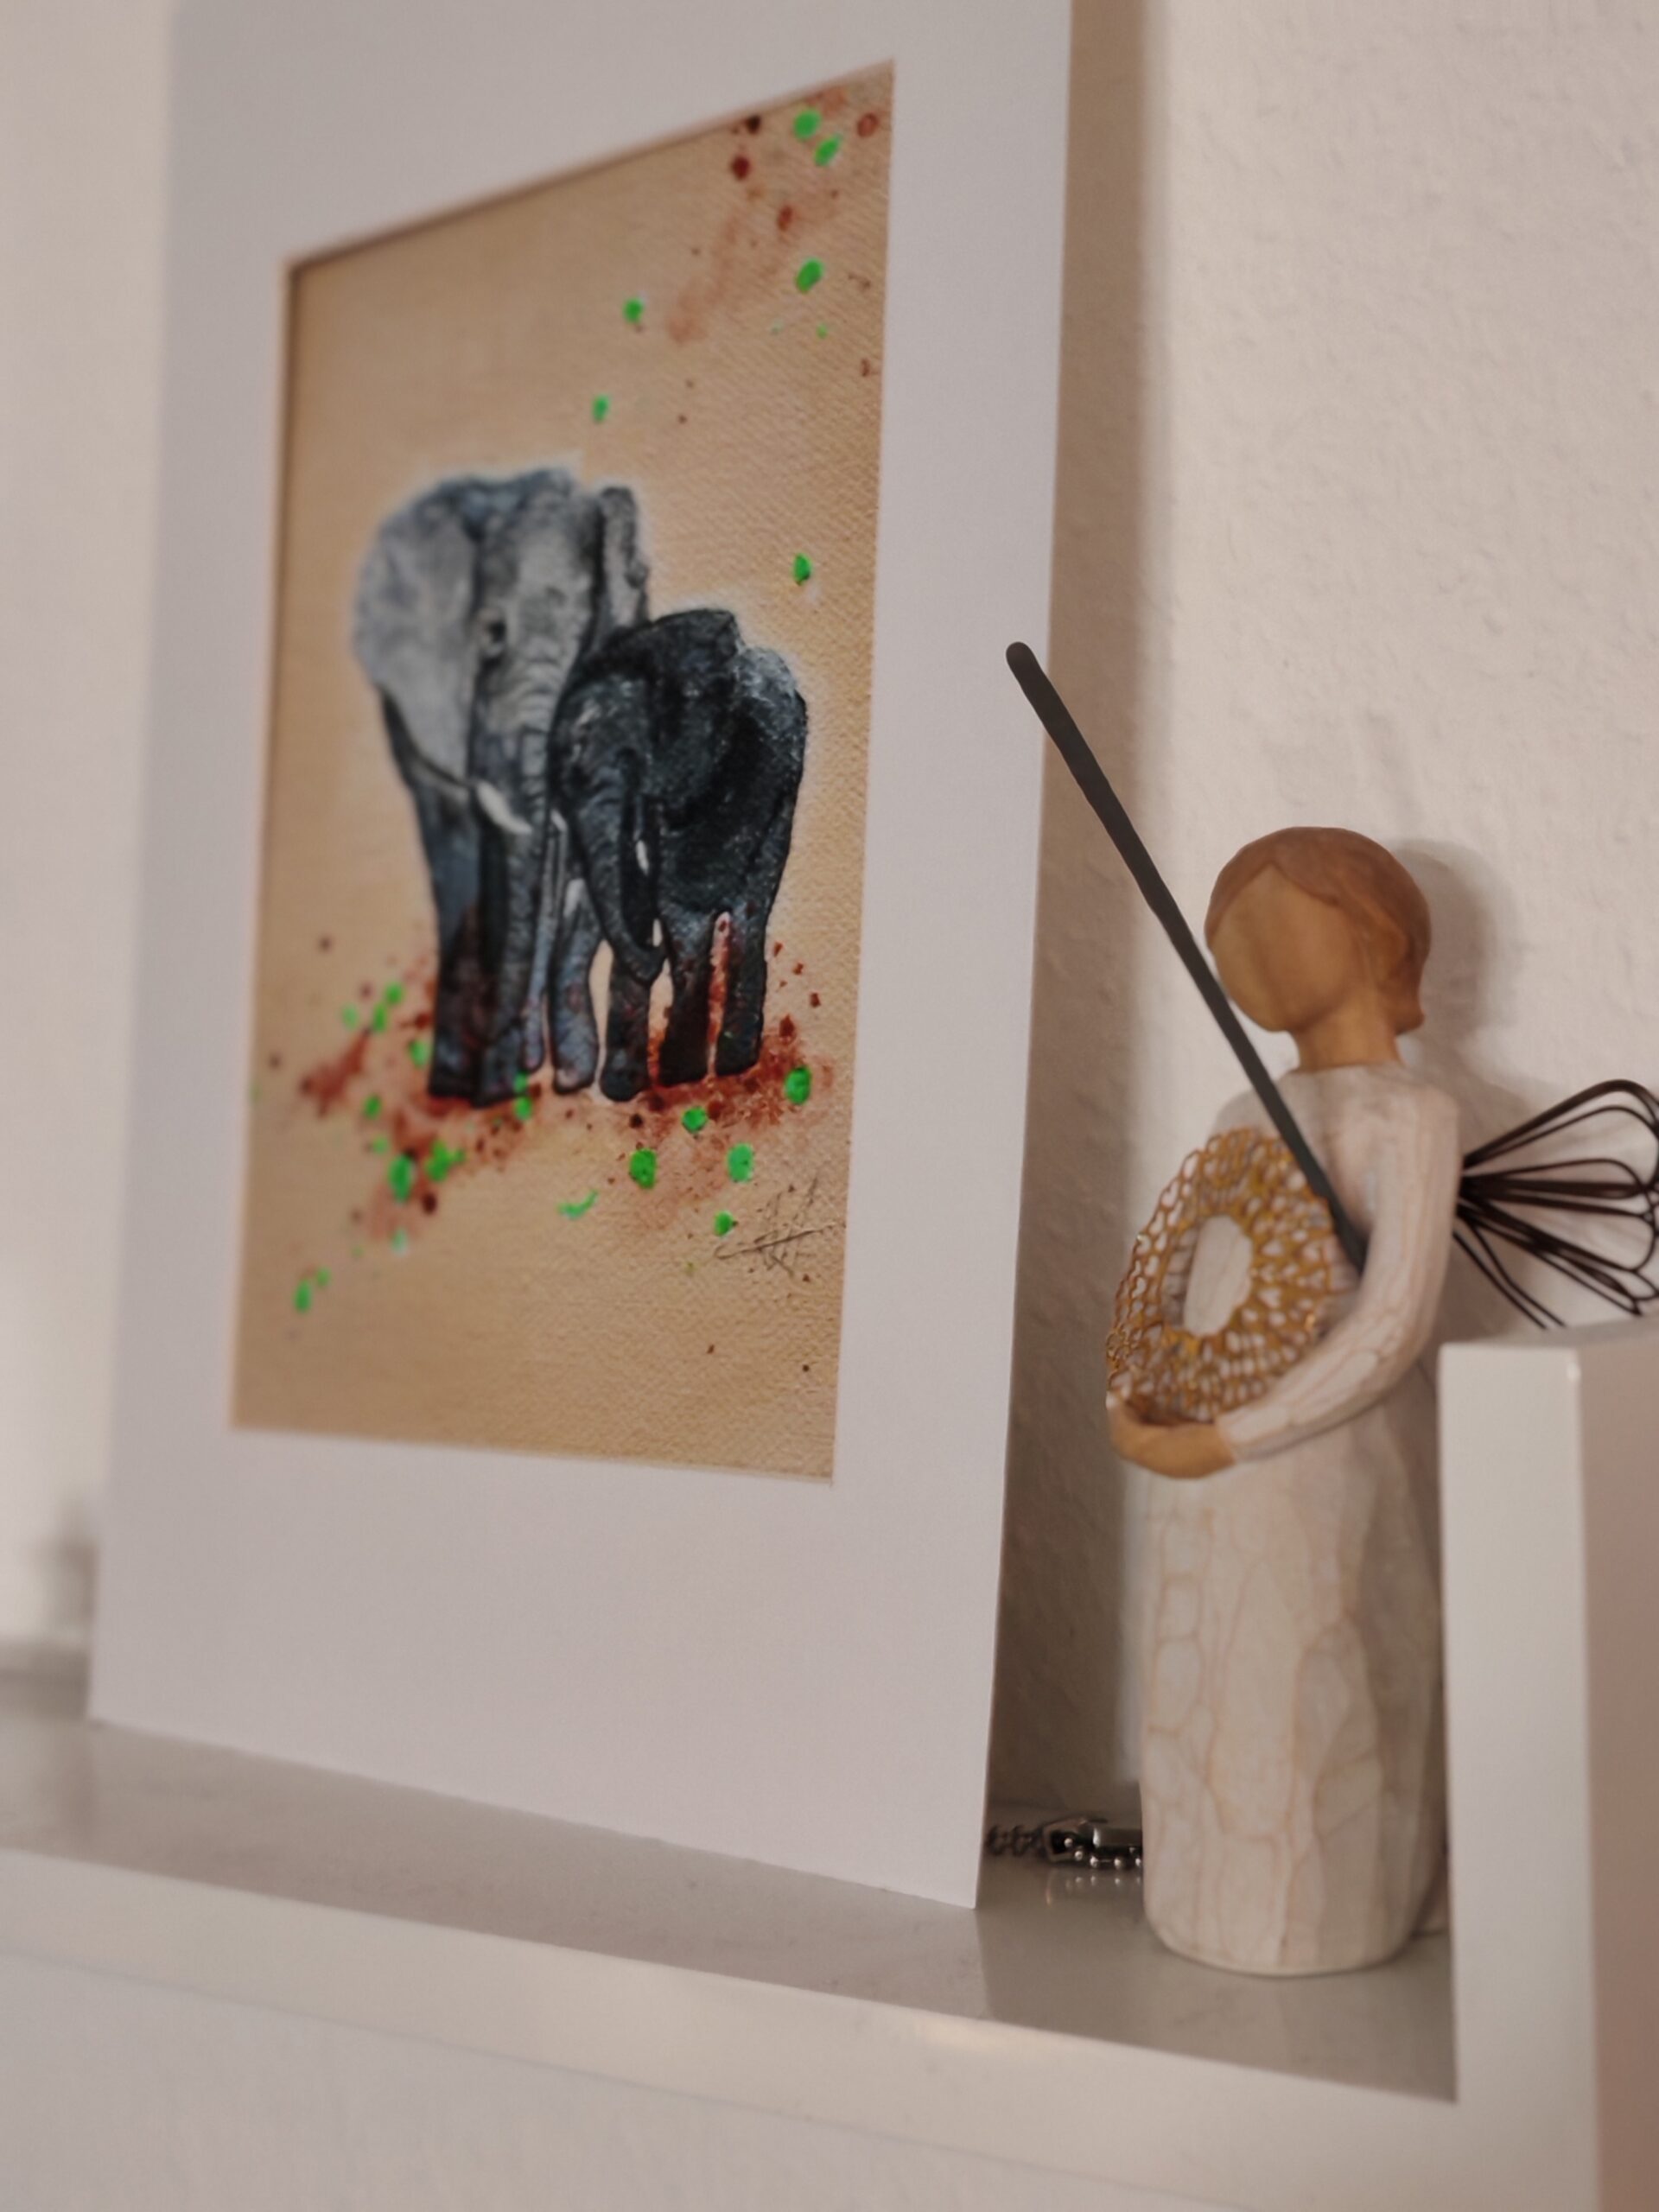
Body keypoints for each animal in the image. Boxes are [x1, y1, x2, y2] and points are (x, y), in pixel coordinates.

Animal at [351, 467, 648, 1105]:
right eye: (490, 637)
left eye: (587, 646)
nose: (519, 1073)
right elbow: (458, 845)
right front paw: (468, 1086)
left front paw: (556, 1081)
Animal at [551, 607, 808, 1102]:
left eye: (633, 755)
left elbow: (685, 908)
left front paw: (677, 1076)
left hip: (785, 796)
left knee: (752, 907)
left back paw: (730, 1064)